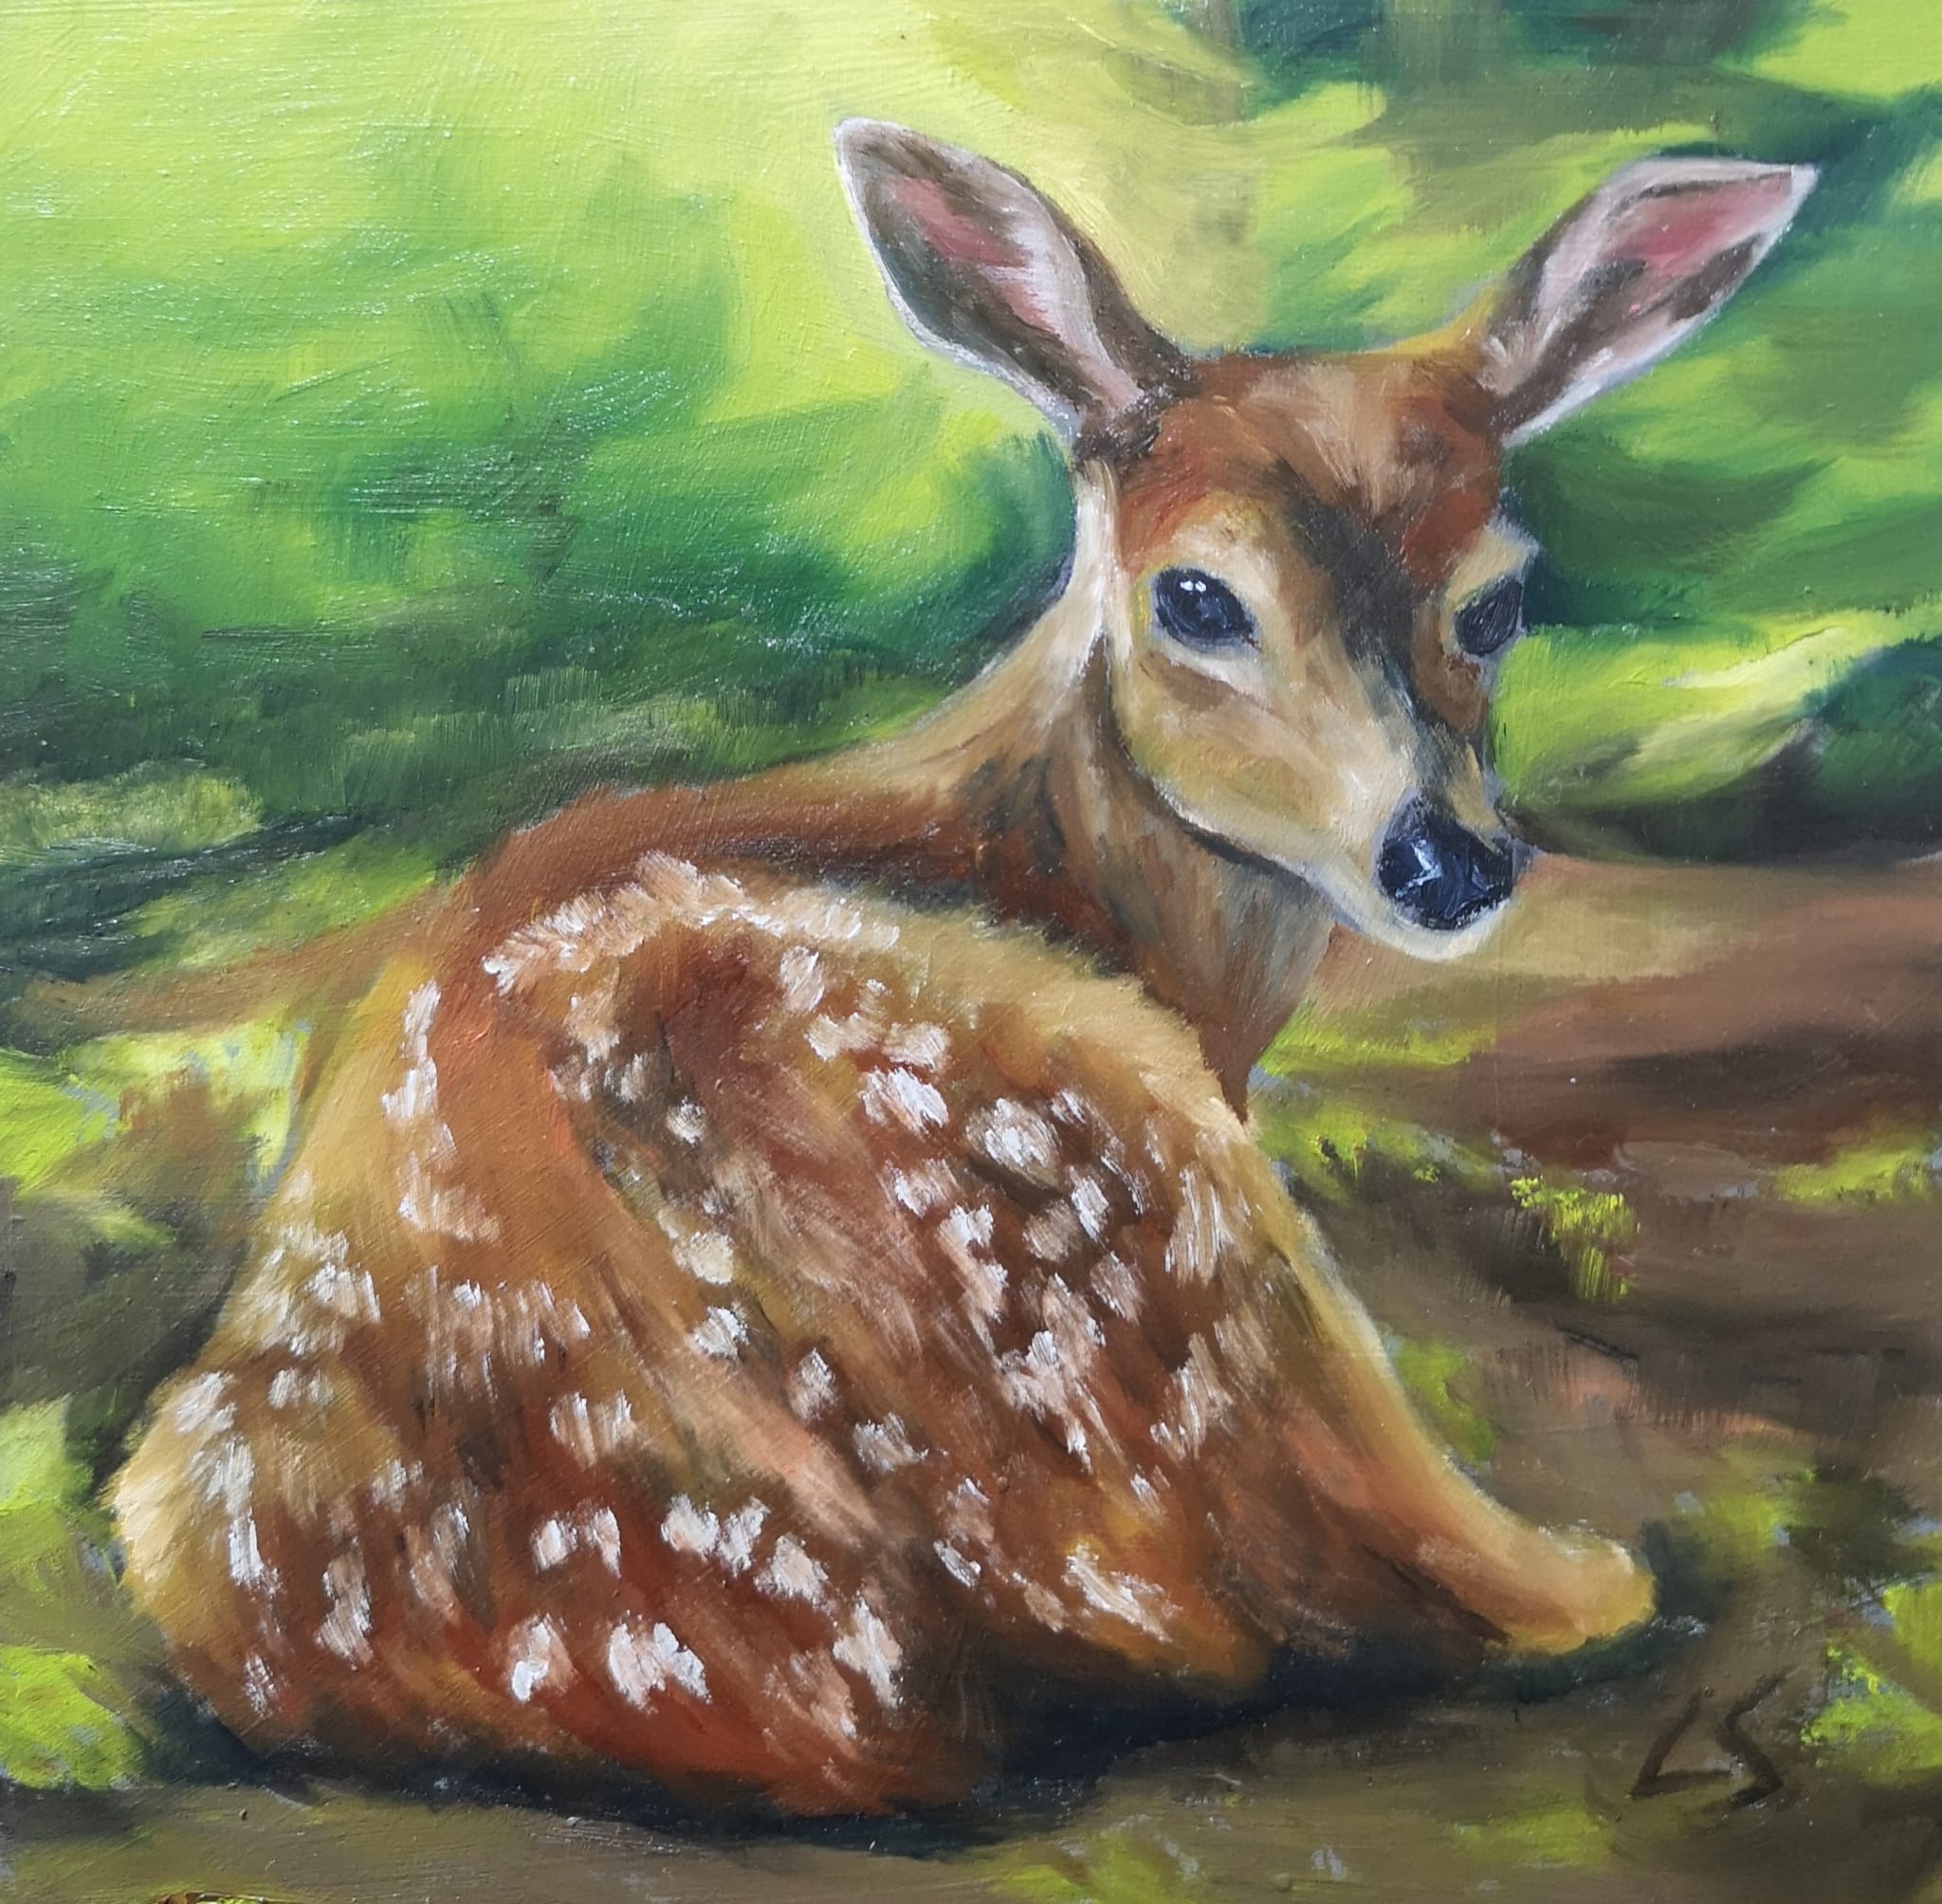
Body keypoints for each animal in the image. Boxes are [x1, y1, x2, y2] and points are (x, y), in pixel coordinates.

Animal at [108, 121, 1813, 1816]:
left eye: (1499, 598)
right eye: (1198, 596)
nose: (1445, 860)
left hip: (184, 1492)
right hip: (1163, 1207)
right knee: (1476, 1578)